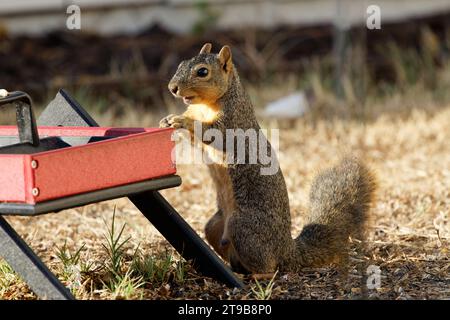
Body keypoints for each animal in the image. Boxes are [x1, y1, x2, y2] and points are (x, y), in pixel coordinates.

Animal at [160, 43, 374, 276]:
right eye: (181, 64)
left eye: (202, 72)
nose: (172, 88)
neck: (206, 105)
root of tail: (288, 250)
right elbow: (195, 142)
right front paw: (168, 120)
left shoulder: (233, 123)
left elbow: (213, 133)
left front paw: (182, 120)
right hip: (215, 226)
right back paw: (236, 269)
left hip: (242, 227)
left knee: (270, 266)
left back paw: (257, 275)